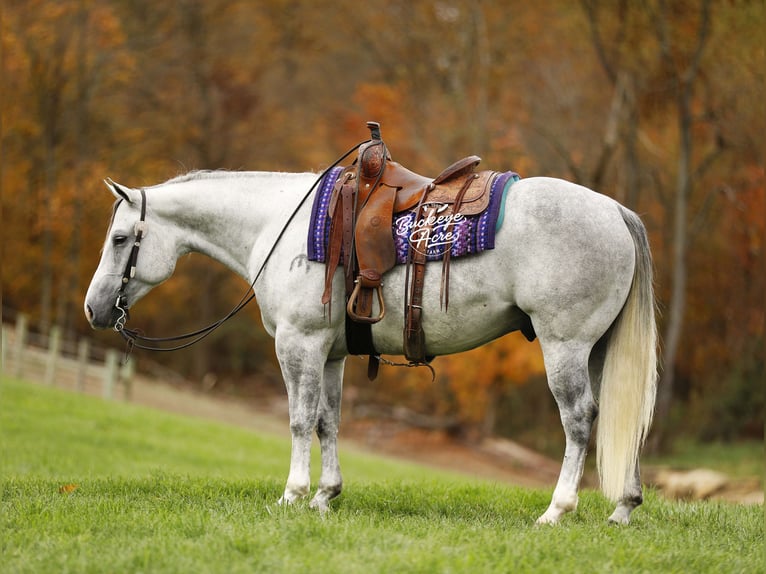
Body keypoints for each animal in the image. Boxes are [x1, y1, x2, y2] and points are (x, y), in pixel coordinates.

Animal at [84, 168, 657, 525]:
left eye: (119, 239)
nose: (93, 308)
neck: (279, 226)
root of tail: (615, 211)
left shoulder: (298, 343)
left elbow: (299, 419)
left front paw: (293, 494)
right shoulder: (331, 352)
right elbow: (327, 421)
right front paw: (325, 495)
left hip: (565, 346)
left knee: (579, 420)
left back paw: (557, 510)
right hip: (597, 350)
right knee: (619, 418)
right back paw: (623, 506)